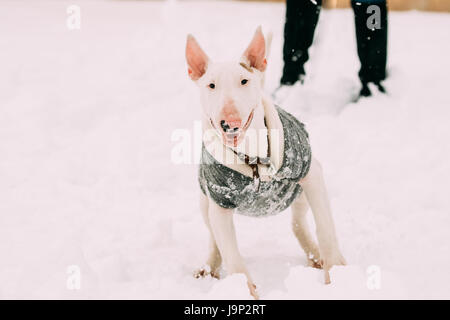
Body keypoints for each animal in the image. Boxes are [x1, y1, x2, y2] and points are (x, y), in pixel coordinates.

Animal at [185, 26, 346, 298]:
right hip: (203, 201)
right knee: (214, 238)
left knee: (298, 222)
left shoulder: (311, 173)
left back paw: (316, 257)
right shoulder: (218, 199)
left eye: (244, 81)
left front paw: (338, 275)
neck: (252, 158)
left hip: (299, 194)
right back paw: (209, 269)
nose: (230, 122)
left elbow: (325, 227)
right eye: (211, 85)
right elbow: (230, 252)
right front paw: (244, 291)